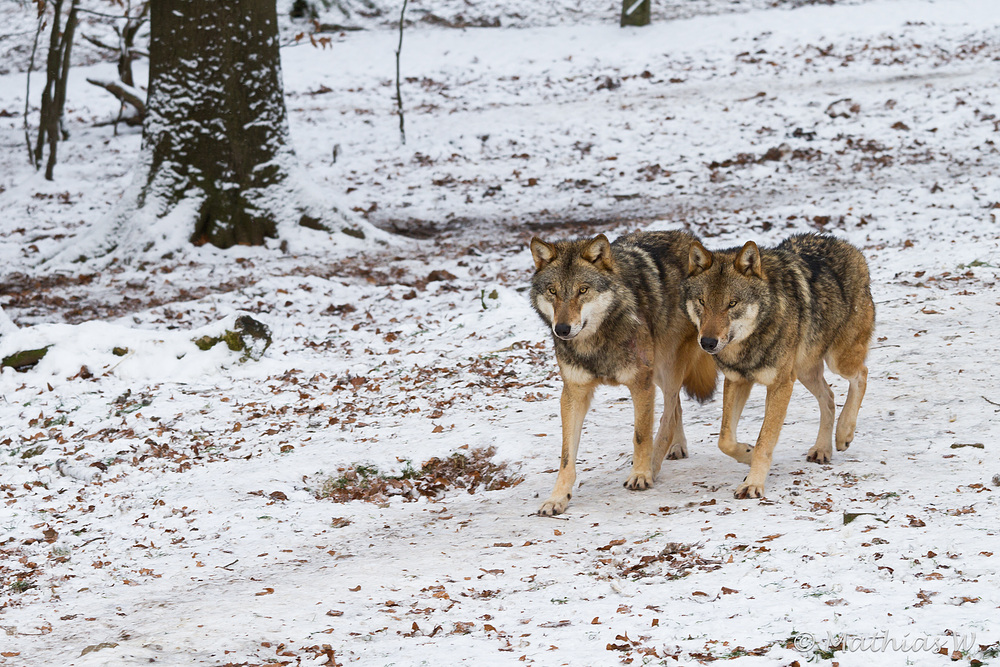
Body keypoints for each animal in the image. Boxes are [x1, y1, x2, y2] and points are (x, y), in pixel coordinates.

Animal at [532, 231, 720, 516]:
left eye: (582, 290)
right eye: (553, 291)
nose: (562, 329)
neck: (596, 342)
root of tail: (689, 238)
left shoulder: (641, 383)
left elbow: (641, 435)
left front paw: (641, 474)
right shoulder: (574, 393)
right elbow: (566, 456)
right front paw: (557, 498)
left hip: (666, 367)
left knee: (669, 412)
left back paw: (657, 460)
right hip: (659, 372)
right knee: (675, 407)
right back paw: (676, 447)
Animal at [680, 232, 876, 498]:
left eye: (732, 303)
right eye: (702, 301)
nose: (708, 342)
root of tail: (851, 248)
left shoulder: (780, 385)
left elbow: (765, 440)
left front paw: (753, 484)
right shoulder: (737, 380)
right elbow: (725, 440)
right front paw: (747, 453)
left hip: (837, 360)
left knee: (861, 375)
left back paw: (844, 433)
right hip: (804, 371)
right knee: (829, 396)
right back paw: (823, 449)